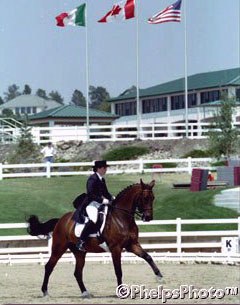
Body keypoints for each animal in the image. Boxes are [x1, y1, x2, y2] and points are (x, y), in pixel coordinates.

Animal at [27, 178, 163, 296]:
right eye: (145, 198)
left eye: (153, 198)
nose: (148, 217)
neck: (122, 218)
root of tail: (60, 220)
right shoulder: (116, 248)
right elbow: (118, 271)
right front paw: (121, 291)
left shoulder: (132, 245)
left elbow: (148, 257)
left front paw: (160, 276)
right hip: (59, 248)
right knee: (49, 267)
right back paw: (45, 291)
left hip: (80, 253)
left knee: (77, 273)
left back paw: (85, 293)